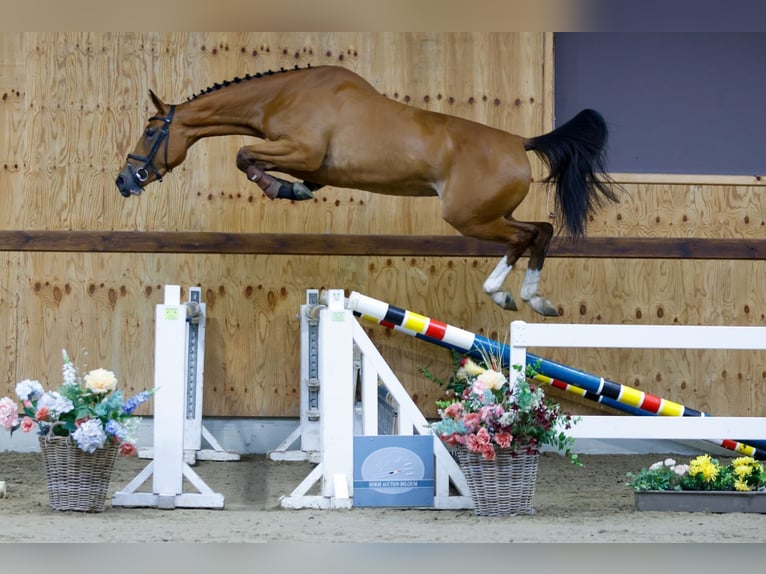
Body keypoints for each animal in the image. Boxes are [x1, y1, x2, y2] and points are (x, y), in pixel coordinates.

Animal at [115, 65, 616, 318]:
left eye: (149, 131)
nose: (124, 180)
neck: (282, 95)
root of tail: (520, 142)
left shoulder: (301, 150)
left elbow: (244, 156)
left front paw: (280, 188)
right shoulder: (312, 163)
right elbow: (267, 164)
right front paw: (295, 190)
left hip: (470, 218)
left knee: (523, 238)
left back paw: (502, 294)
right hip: (493, 213)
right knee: (541, 231)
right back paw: (536, 299)